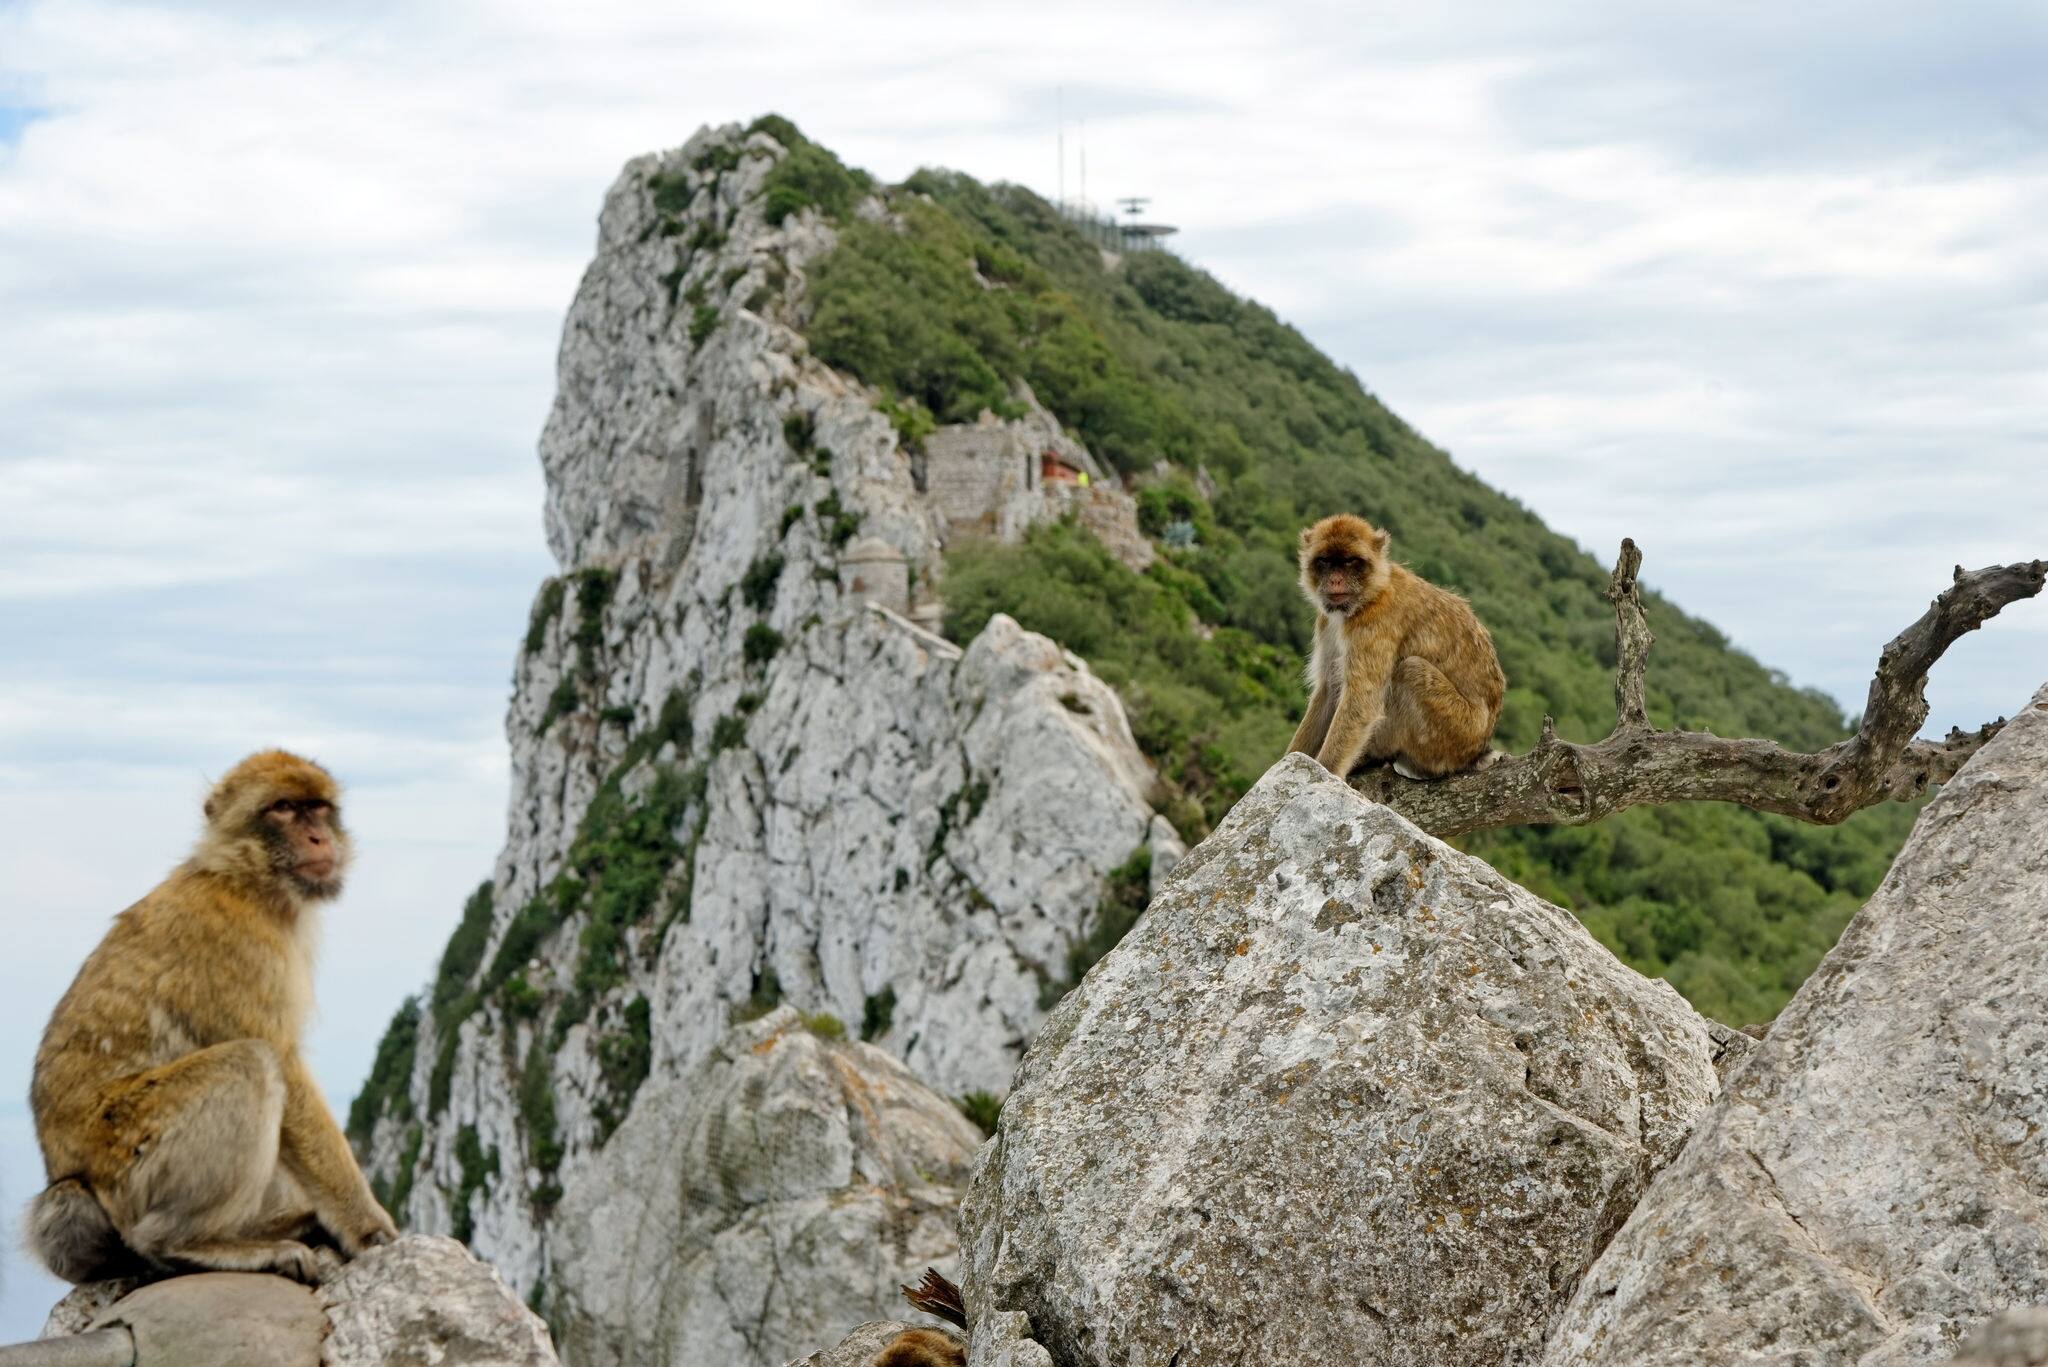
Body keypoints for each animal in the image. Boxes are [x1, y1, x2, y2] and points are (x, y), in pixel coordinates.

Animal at [25, 750, 398, 1286]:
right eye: (283, 808)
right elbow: (284, 1067)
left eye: (318, 808)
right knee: (249, 1063)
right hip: (133, 1156)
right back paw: (194, 1243)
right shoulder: (238, 946)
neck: (245, 880)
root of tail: (69, 1175)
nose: (318, 838)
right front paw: (367, 1228)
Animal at [1288, 514, 1505, 779]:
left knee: (1409, 671)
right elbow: (1329, 689)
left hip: (1456, 733)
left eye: (1350, 561)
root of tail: (1479, 749)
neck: (1369, 594)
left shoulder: (1376, 623)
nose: (1335, 580)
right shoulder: (1327, 621)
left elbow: (1361, 700)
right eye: (1326, 562)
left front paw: (1327, 771)